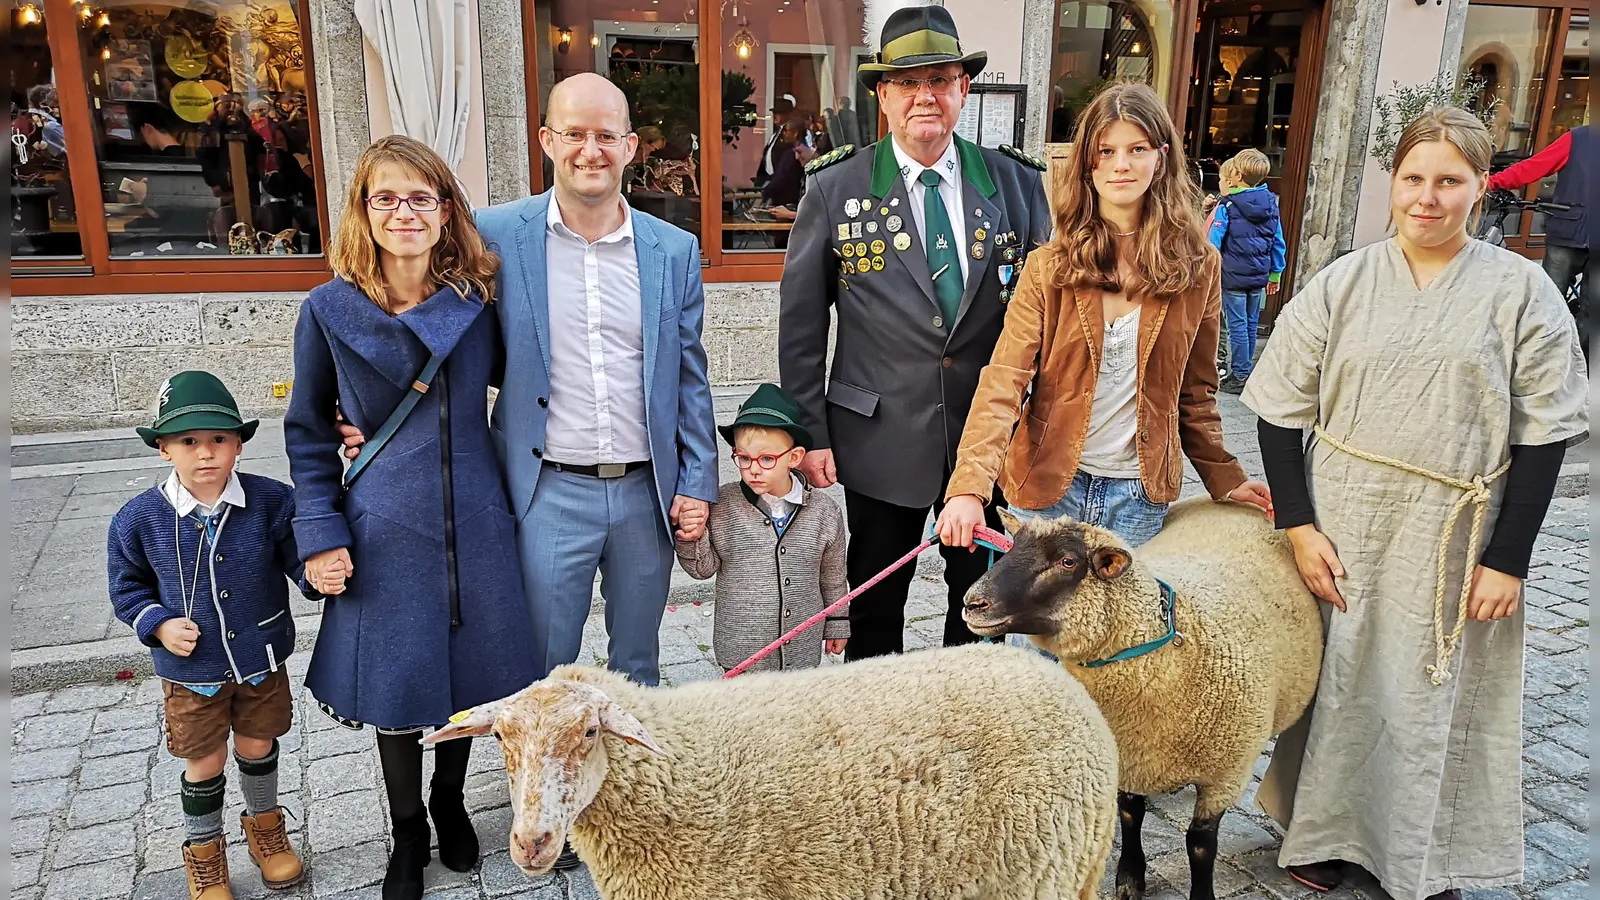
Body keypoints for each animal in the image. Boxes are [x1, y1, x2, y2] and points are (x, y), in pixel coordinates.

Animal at [960, 496, 1324, 896]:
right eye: (1012, 546)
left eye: (1067, 561)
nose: (972, 603)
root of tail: (1232, 500)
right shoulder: (1129, 752)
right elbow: (1131, 814)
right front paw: (1130, 878)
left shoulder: (1227, 775)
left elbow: (1200, 844)